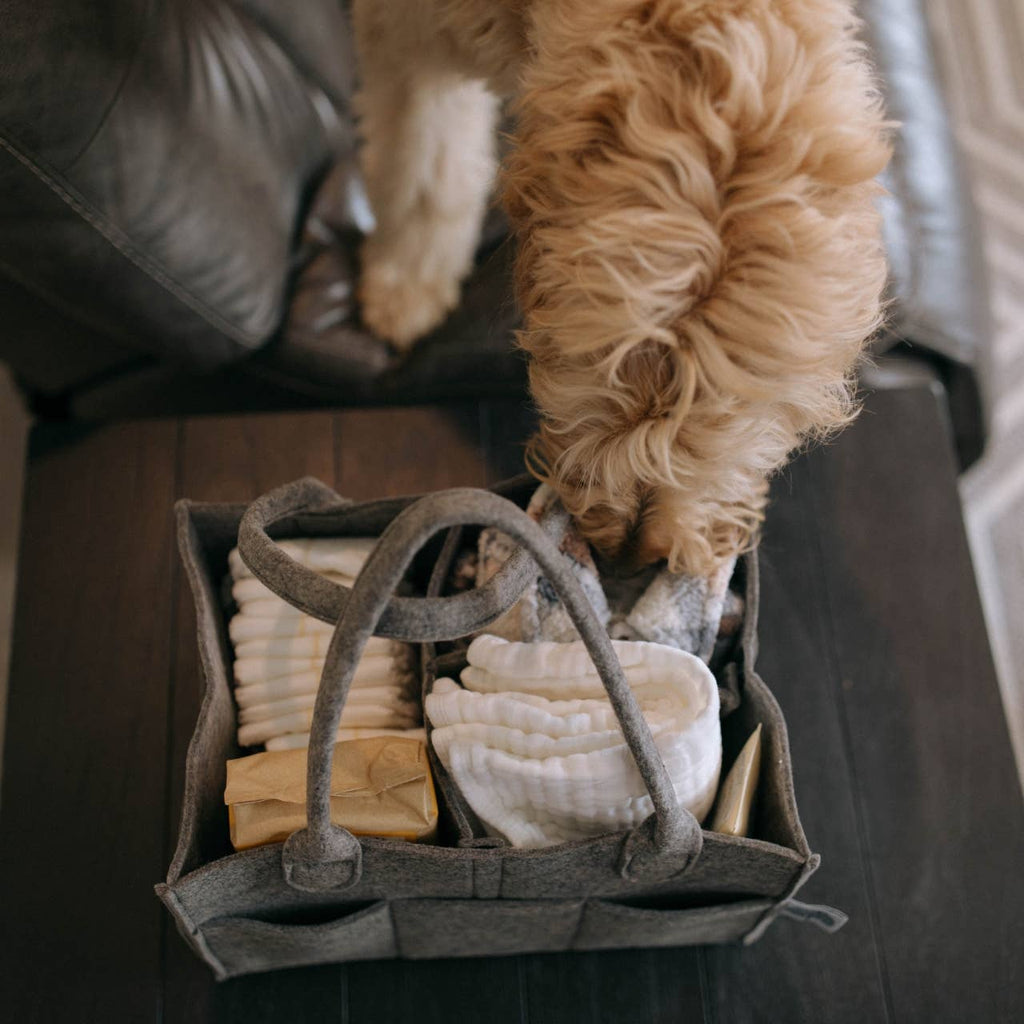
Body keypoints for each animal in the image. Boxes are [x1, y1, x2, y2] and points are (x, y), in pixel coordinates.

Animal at [352, 0, 888, 577]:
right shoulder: (406, 36)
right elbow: (423, 170)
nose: (631, 556)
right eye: (612, 372)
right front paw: (407, 283)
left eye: (741, 403)